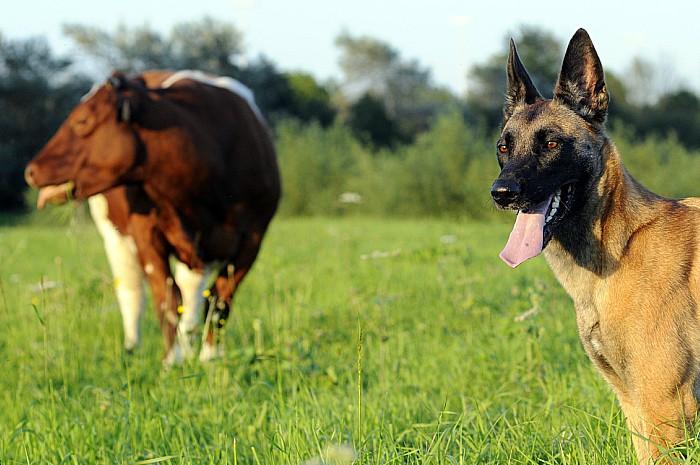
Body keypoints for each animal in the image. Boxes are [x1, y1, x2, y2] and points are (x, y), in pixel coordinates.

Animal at [24, 69, 282, 362]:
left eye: (82, 120)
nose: (31, 170)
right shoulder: (146, 233)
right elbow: (167, 300)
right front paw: (173, 360)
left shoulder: (252, 239)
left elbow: (219, 301)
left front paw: (210, 357)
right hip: (114, 235)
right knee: (132, 291)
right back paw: (133, 347)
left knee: (192, 291)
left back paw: (189, 340)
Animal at [490, 28, 700, 460]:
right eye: (504, 147)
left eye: (551, 144)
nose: (502, 193)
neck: (621, 250)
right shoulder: (635, 404)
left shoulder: (666, 405)